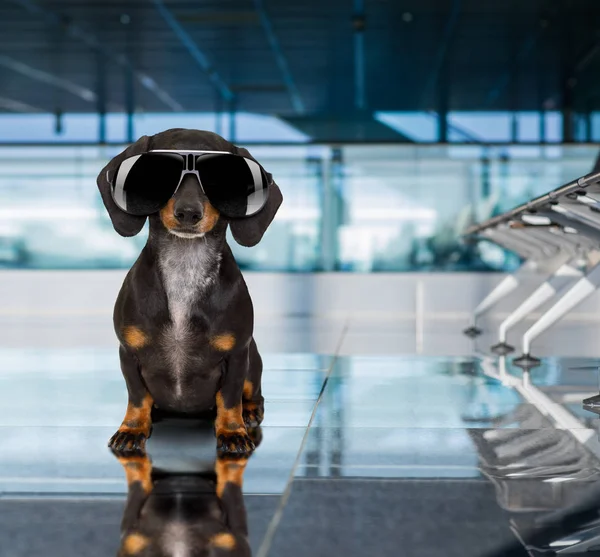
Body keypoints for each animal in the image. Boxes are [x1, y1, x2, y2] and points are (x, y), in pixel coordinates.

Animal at [98, 128, 284, 454]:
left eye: (225, 178)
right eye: (154, 173)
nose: (188, 213)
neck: (185, 268)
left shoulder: (237, 354)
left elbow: (229, 398)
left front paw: (232, 432)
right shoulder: (128, 352)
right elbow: (137, 396)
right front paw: (132, 429)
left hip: (254, 359)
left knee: (253, 393)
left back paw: (250, 412)